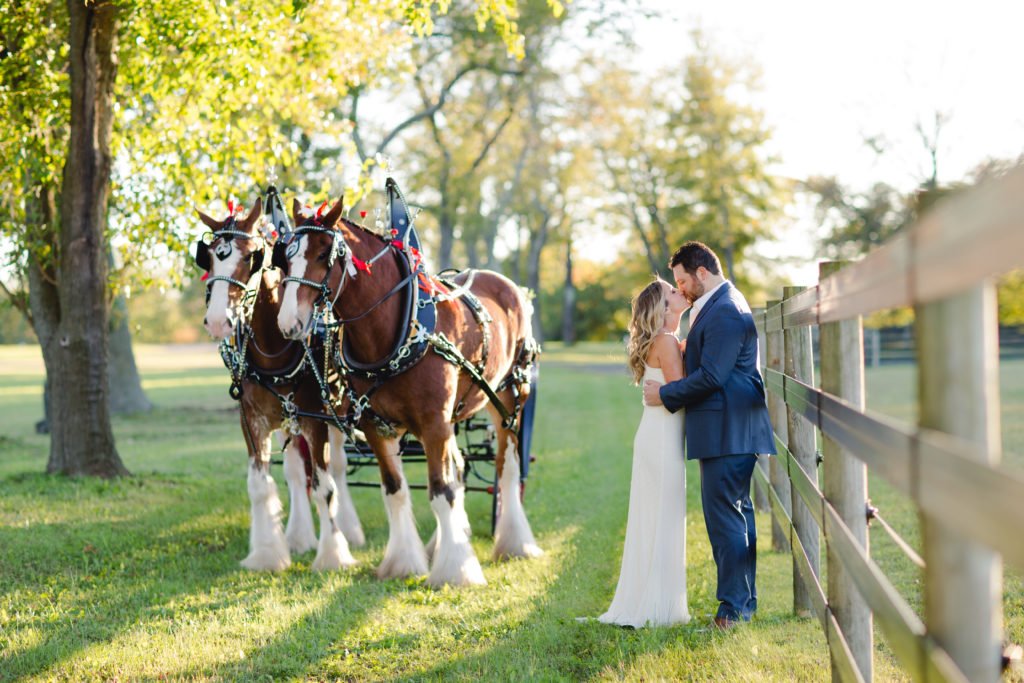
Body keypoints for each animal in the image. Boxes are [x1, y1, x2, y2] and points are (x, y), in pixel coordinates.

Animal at [195, 197, 364, 571]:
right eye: (208, 257)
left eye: (251, 257)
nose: (217, 321)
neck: (274, 347)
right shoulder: (251, 420)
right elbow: (261, 485)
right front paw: (266, 554)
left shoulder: (315, 419)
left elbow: (324, 486)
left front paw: (333, 554)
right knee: (296, 472)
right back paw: (299, 536)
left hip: (337, 411)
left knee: (338, 468)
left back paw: (349, 529)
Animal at [274, 195, 541, 588]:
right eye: (284, 257)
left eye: (324, 254)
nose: (288, 323)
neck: (395, 331)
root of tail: (509, 286)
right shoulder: (377, 425)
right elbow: (396, 490)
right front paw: (404, 561)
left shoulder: (433, 423)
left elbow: (441, 492)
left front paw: (455, 570)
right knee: (459, 468)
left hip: (507, 398)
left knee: (505, 469)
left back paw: (515, 542)